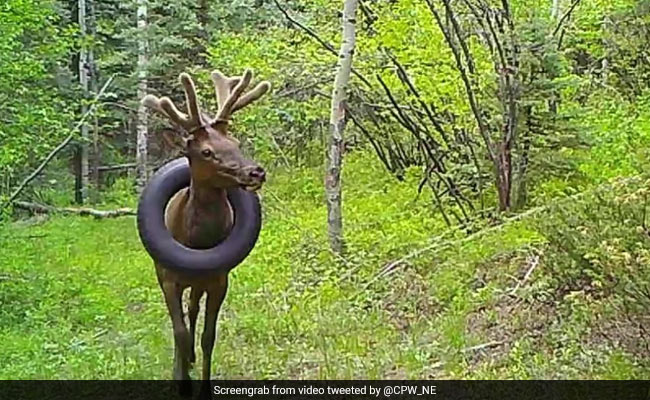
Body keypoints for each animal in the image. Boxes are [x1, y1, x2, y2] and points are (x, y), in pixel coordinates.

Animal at [141, 69, 270, 396]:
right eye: (206, 151)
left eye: (235, 141)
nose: (255, 172)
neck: (198, 242)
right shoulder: (167, 278)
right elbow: (179, 332)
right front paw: (181, 377)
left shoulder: (219, 281)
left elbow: (207, 336)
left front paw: (203, 381)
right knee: (183, 320)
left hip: (199, 283)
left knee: (193, 309)